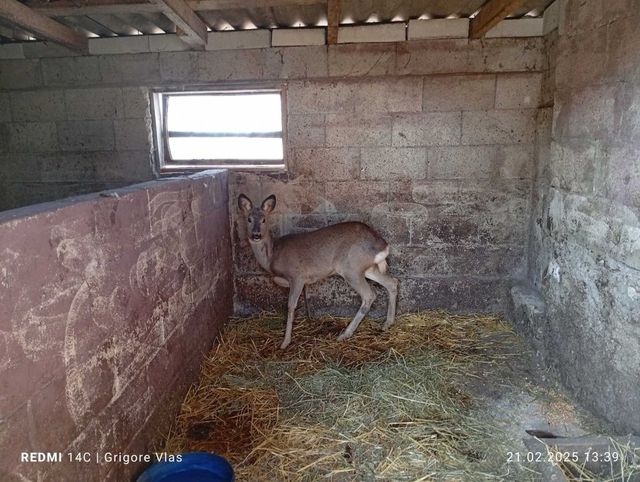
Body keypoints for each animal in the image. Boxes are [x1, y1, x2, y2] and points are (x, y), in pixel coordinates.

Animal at [238, 194, 398, 348]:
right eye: (249, 219)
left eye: (264, 219)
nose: (256, 235)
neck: (273, 255)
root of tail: (383, 245)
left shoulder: (297, 275)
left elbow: (290, 306)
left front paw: (285, 342)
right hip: (366, 267)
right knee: (392, 282)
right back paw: (387, 324)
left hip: (350, 267)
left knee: (370, 295)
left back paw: (345, 334)